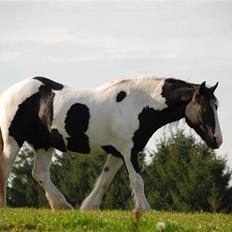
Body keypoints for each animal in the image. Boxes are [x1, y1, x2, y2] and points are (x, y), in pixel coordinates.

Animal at [0, 76, 223, 212]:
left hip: (43, 144)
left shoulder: (117, 153)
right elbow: (137, 181)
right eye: (205, 109)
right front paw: (146, 210)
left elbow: (104, 181)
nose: (218, 140)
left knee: (40, 174)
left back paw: (63, 205)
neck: (140, 104)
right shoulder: (128, 151)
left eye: (216, 107)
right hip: (13, 140)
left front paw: (88, 207)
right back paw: (5, 206)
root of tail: (9, 92)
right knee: (6, 170)